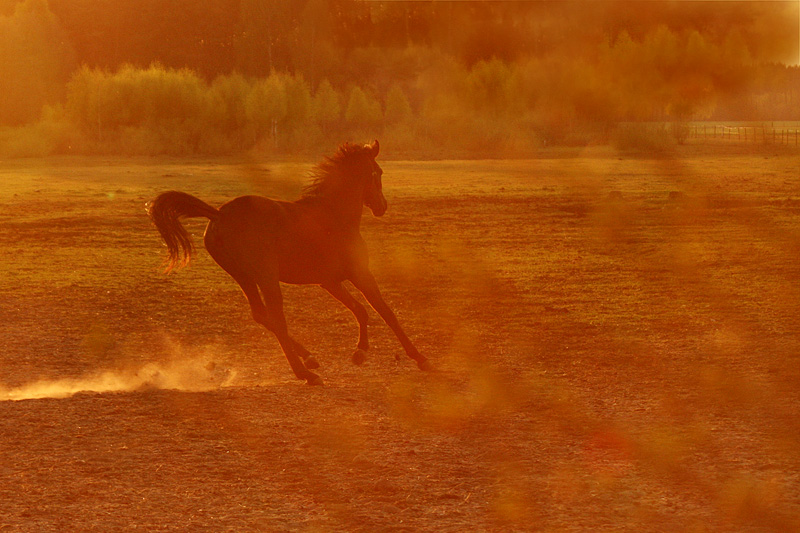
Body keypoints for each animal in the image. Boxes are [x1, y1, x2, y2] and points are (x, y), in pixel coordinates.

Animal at [146, 139, 428, 384]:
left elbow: (360, 310)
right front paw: (420, 358)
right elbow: (385, 312)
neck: (333, 214)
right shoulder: (359, 273)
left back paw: (310, 359)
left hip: (244, 277)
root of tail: (218, 214)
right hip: (266, 276)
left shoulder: (329, 281)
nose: (382, 206)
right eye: (378, 172)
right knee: (277, 318)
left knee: (262, 315)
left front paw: (360, 353)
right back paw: (306, 374)